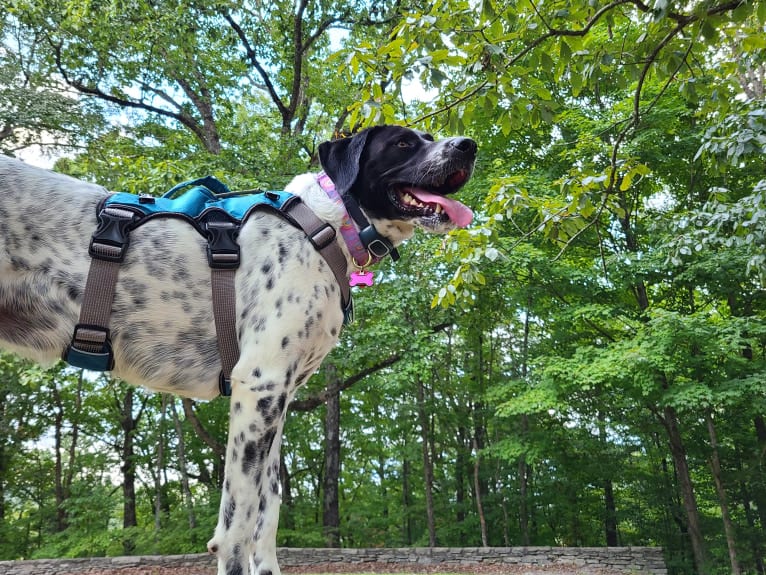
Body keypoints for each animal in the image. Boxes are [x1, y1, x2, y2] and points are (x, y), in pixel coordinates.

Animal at [0, 126, 476, 575]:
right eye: (403, 143)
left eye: (430, 138)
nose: (468, 146)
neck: (322, 228)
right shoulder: (259, 385)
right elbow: (238, 525)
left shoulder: (277, 400)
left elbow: (268, 509)